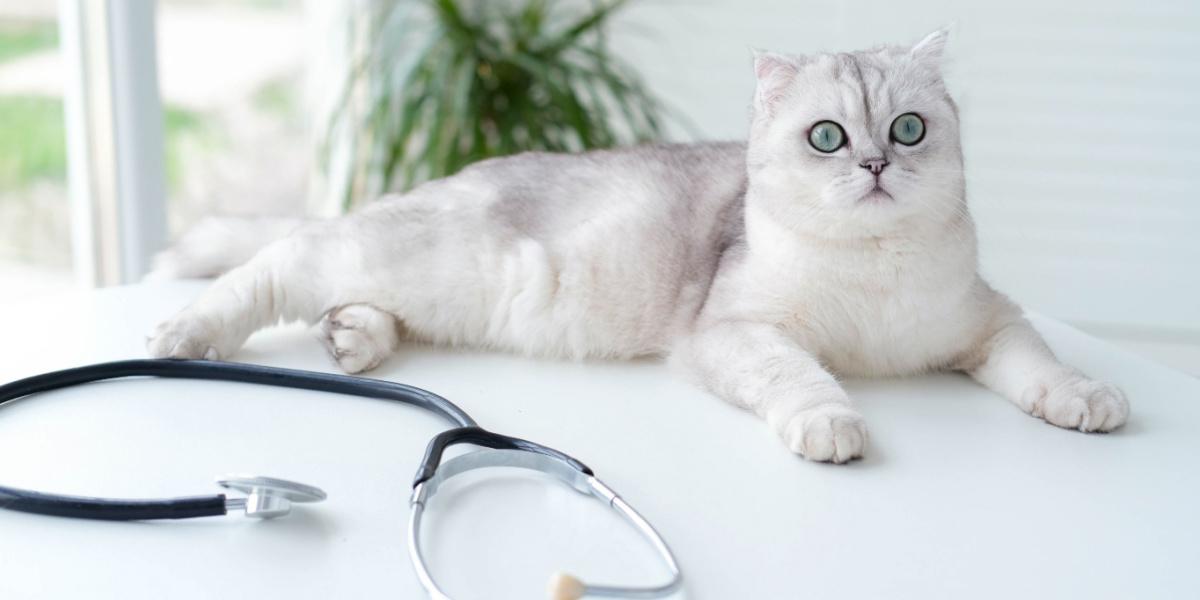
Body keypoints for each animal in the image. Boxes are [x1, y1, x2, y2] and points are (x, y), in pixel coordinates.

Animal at [145, 30, 1128, 463]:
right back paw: (185, 334)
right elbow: (801, 375)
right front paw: (831, 422)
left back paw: (354, 338)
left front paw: (1086, 398)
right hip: (391, 254)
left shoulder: (990, 320)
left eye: (910, 128)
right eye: (828, 138)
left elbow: (1040, 363)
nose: (879, 163)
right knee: (272, 266)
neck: (874, 272)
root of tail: (436, 183)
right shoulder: (732, 332)